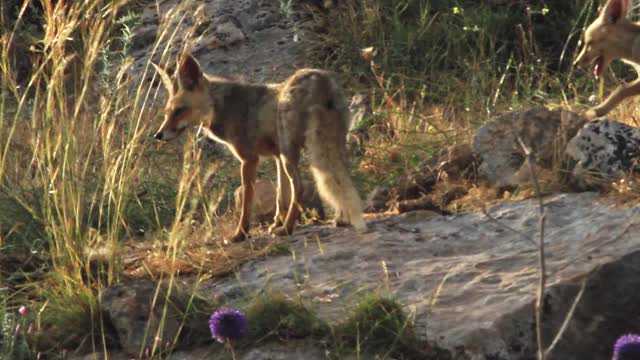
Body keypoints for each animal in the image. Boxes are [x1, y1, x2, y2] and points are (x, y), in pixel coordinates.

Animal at [151, 53, 368, 243]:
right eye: (167, 113)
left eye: (180, 111)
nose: (158, 135)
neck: (224, 107)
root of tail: (320, 78)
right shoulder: (277, 156)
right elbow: (281, 196)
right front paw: (276, 222)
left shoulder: (249, 159)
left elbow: (248, 202)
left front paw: (240, 234)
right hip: (329, 145)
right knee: (340, 177)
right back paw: (339, 219)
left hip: (292, 154)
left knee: (300, 186)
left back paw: (287, 229)